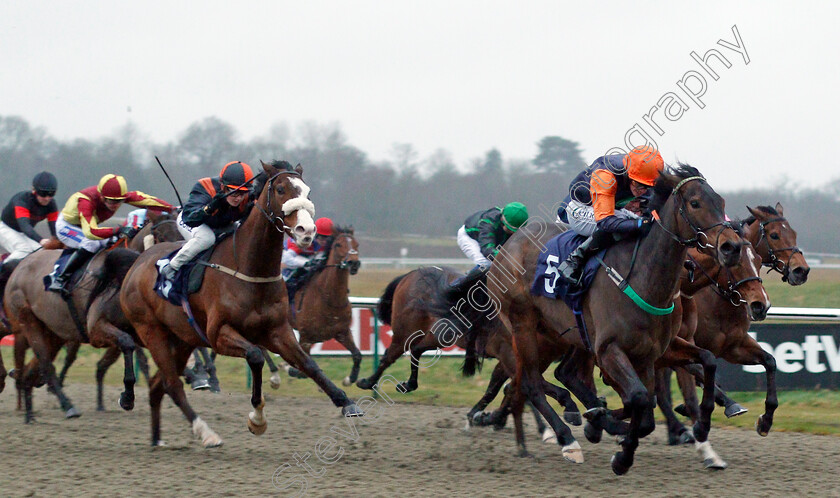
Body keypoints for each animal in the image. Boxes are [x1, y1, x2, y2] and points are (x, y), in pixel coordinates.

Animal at [284, 226, 362, 386]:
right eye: (338, 244)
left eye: (357, 244)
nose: (354, 263)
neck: (329, 299)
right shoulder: (305, 338)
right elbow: (304, 368)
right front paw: (290, 369)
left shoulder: (342, 332)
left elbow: (357, 355)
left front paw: (349, 379)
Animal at [434, 165, 740, 472]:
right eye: (695, 203)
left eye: (722, 202)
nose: (731, 247)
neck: (644, 278)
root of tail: (507, 247)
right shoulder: (607, 349)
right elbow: (640, 398)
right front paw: (621, 455)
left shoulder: (652, 352)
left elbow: (700, 367)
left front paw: (700, 426)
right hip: (523, 327)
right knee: (531, 383)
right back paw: (567, 438)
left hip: (559, 334)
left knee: (544, 378)